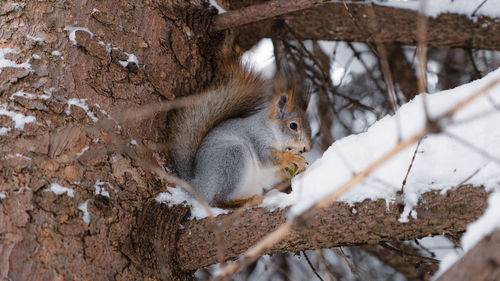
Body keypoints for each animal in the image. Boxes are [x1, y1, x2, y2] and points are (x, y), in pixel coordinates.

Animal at [166, 44, 310, 206]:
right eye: (293, 126)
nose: (307, 148)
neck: (271, 130)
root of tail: (198, 185)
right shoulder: (258, 138)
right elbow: (268, 157)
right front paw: (291, 158)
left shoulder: (271, 173)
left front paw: (299, 167)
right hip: (233, 158)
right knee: (218, 200)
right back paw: (249, 201)